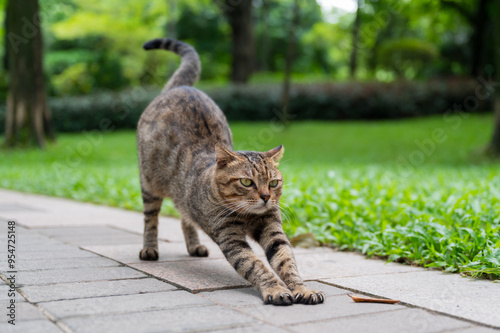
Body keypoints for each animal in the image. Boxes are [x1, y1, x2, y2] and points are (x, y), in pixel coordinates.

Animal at [138, 37, 324, 304]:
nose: (266, 197)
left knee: (185, 217)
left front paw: (302, 288)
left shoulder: (273, 230)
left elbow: (287, 261)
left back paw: (194, 246)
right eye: (246, 182)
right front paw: (275, 289)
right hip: (149, 184)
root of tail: (180, 87)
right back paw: (150, 248)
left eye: (274, 183)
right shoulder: (230, 237)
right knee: (150, 219)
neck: (248, 216)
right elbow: (256, 265)